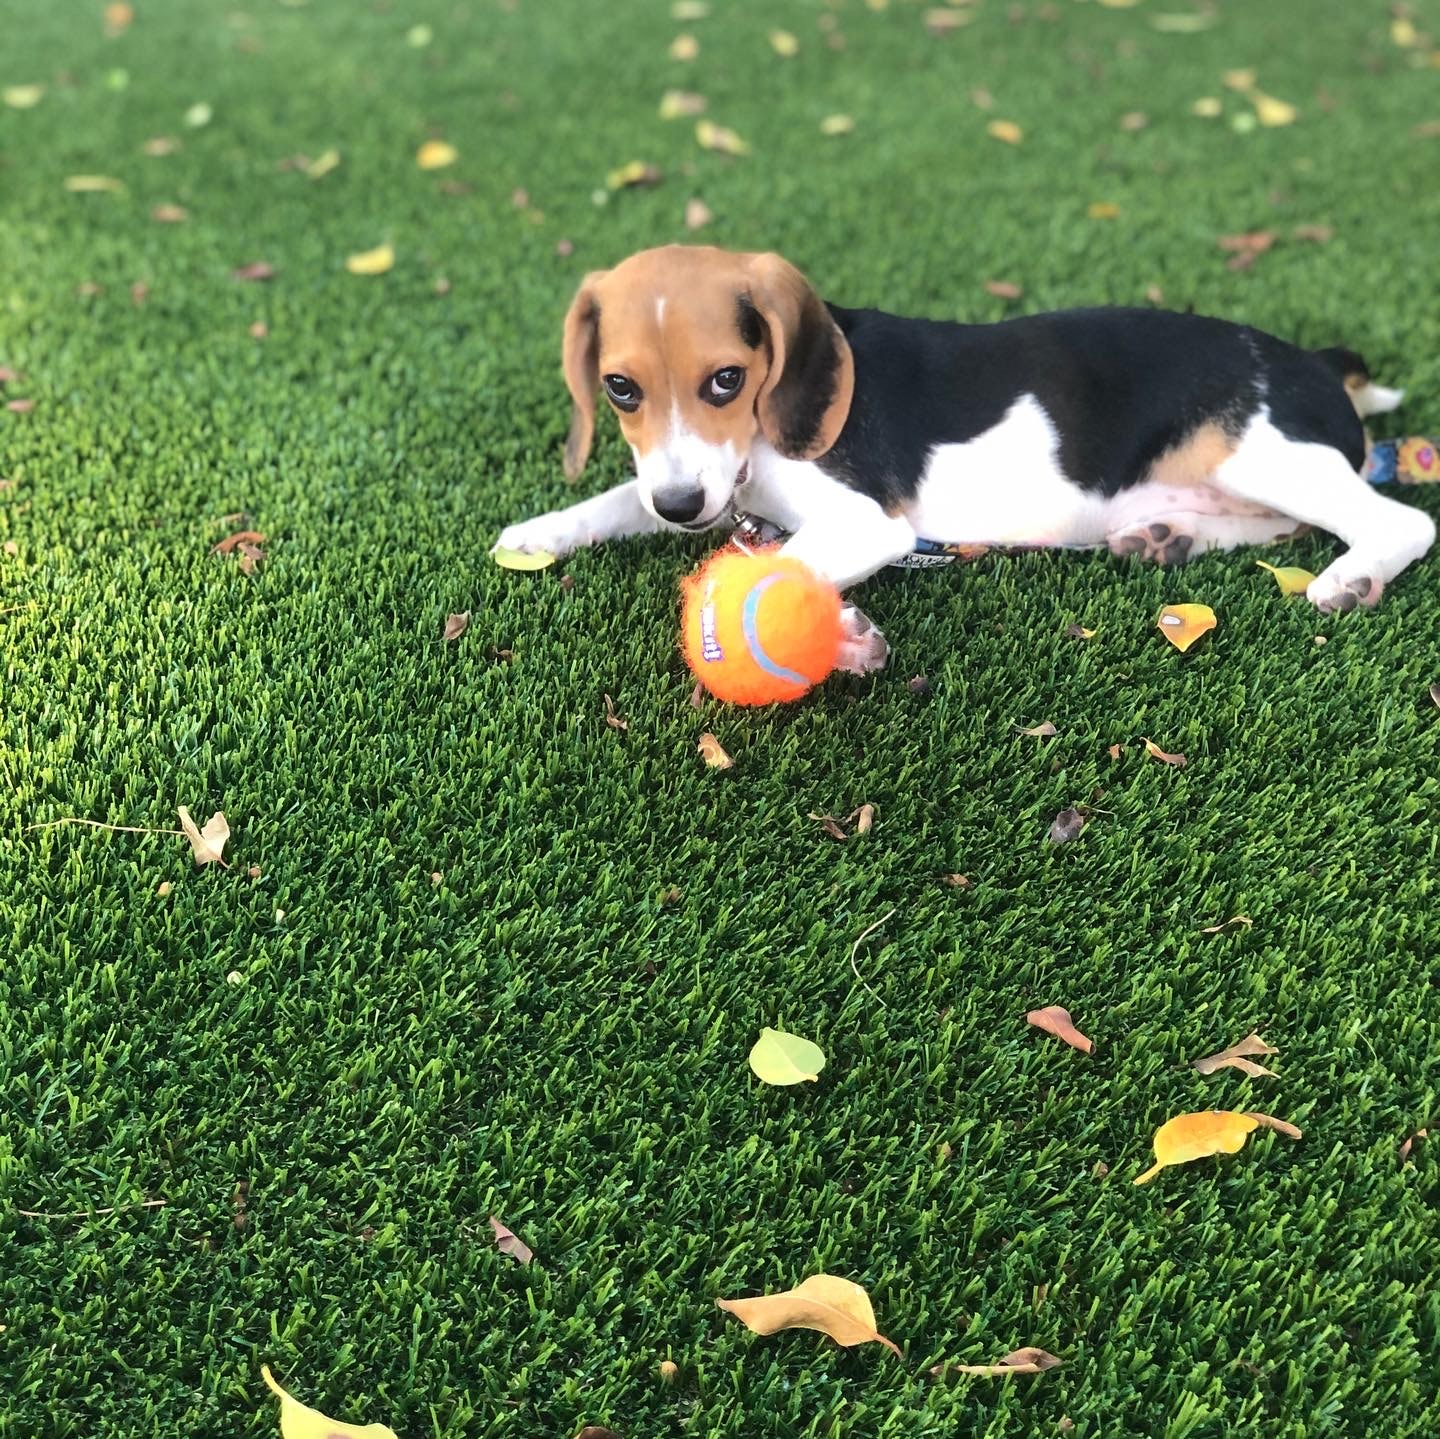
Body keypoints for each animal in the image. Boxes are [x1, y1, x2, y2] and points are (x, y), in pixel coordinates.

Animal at [492, 244, 1428, 671]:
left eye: (726, 379)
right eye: (619, 389)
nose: (684, 509)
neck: (760, 438)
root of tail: (1316, 362)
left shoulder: (867, 522)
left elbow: (779, 564)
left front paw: (838, 635)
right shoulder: (699, 484)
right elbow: (621, 498)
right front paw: (541, 530)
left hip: (1260, 451)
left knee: (1396, 521)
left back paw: (1353, 576)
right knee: (1279, 527)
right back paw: (1170, 538)